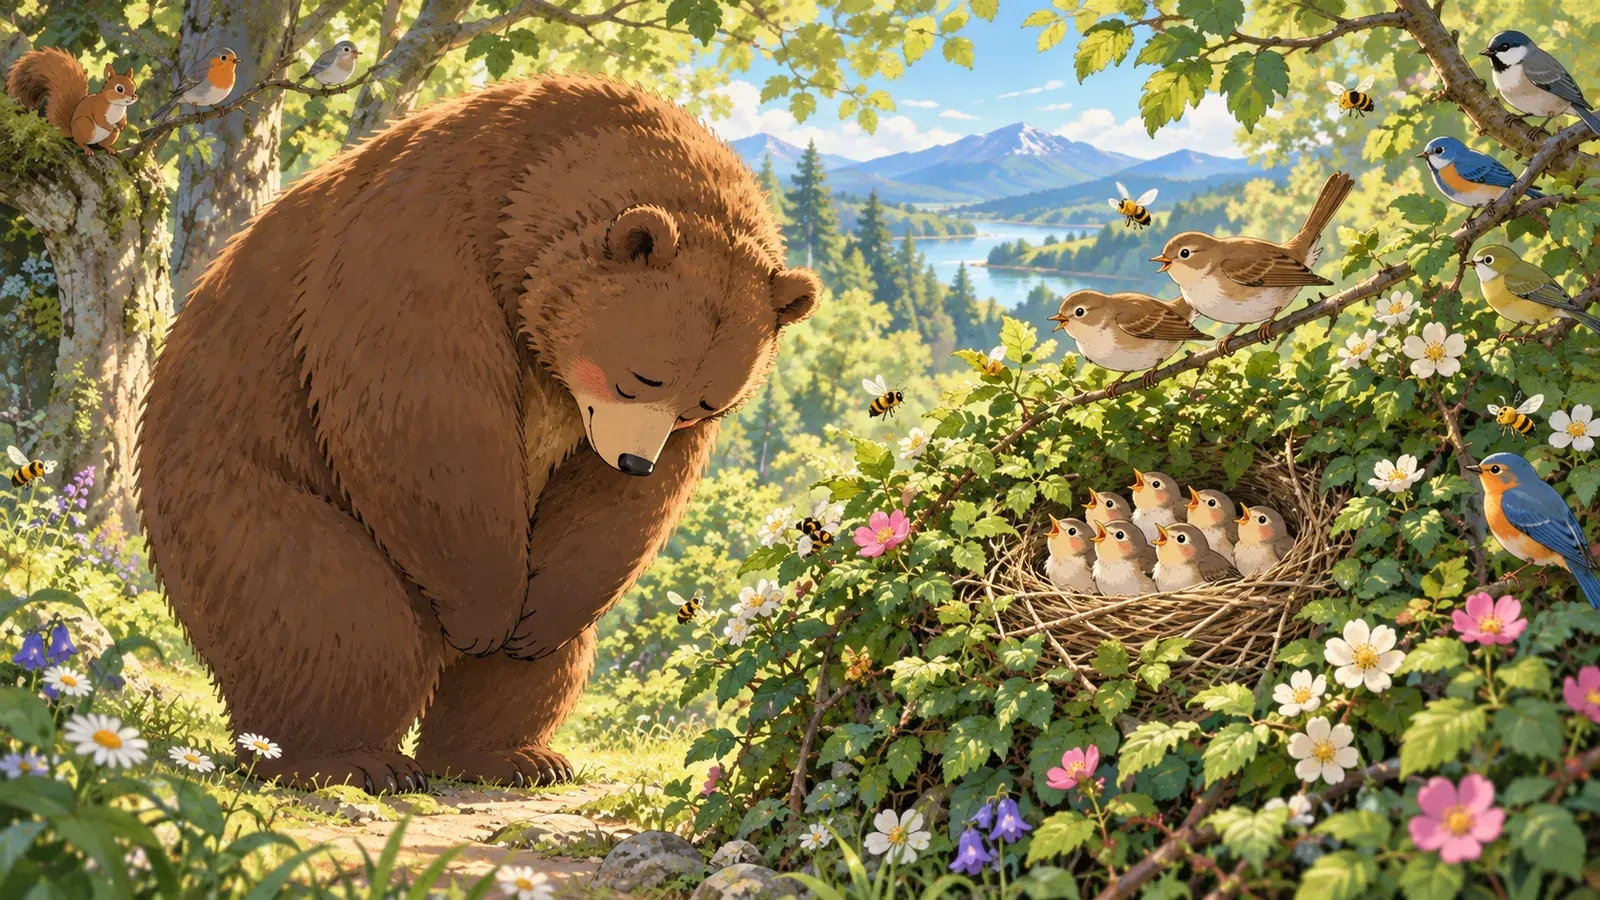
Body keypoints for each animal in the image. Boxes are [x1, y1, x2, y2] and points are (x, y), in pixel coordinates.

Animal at [136, 74, 821, 792]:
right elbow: (427, 420)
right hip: (235, 486)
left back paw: (511, 756)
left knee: (535, 661)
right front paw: (485, 615)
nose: (634, 460)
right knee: (331, 609)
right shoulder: (417, 247)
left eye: (704, 402)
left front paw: (530, 626)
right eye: (639, 376)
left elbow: (611, 517)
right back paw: (346, 759)